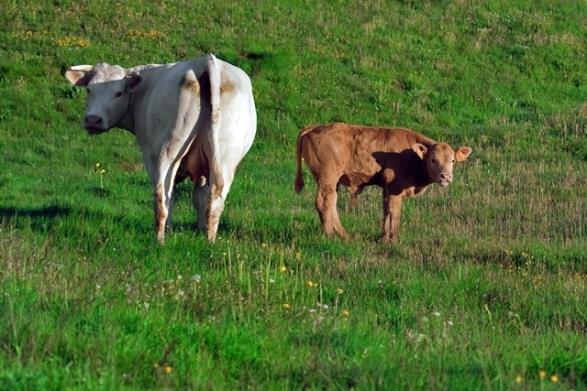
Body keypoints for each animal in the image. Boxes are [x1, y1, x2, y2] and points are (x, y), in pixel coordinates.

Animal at [65, 52, 258, 242]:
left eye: (118, 93)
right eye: (89, 90)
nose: (93, 119)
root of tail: (207, 61)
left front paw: (171, 232)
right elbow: (199, 198)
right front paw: (199, 231)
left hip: (164, 154)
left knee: (162, 197)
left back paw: (160, 240)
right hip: (225, 160)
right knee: (215, 200)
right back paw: (209, 240)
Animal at [294, 124, 474, 243]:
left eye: (452, 160)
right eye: (433, 160)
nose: (445, 176)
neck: (410, 154)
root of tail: (313, 128)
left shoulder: (387, 189)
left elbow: (386, 211)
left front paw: (383, 238)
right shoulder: (395, 188)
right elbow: (394, 212)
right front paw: (393, 240)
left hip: (334, 182)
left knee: (331, 204)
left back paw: (344, 235)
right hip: (328, 179)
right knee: (325, 203)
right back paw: (330, 235)